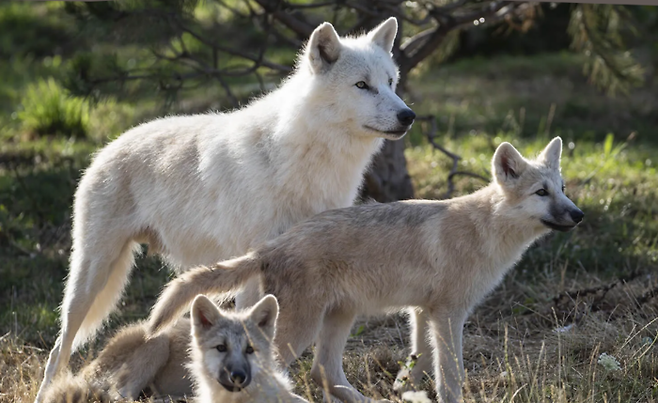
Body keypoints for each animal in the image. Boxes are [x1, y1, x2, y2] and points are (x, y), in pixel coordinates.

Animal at [34, 16, 416, 403]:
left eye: (390, 82)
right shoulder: (253, 269)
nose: (408, 115)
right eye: (362, 85)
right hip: (91, 276)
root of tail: (108, 147)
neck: (308, 156)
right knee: (58, 349)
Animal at [146, 137, 580, 402]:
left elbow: (418, 363)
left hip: (340, 317)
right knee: (296, 372)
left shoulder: (421, 313)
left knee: (323, 371)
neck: (484, 229)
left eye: (562, 189)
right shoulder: (449, 315)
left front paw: (402, 390)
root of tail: (270, 246)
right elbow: (451, 374)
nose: (579, 215)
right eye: (541, 193)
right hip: (303, 329)